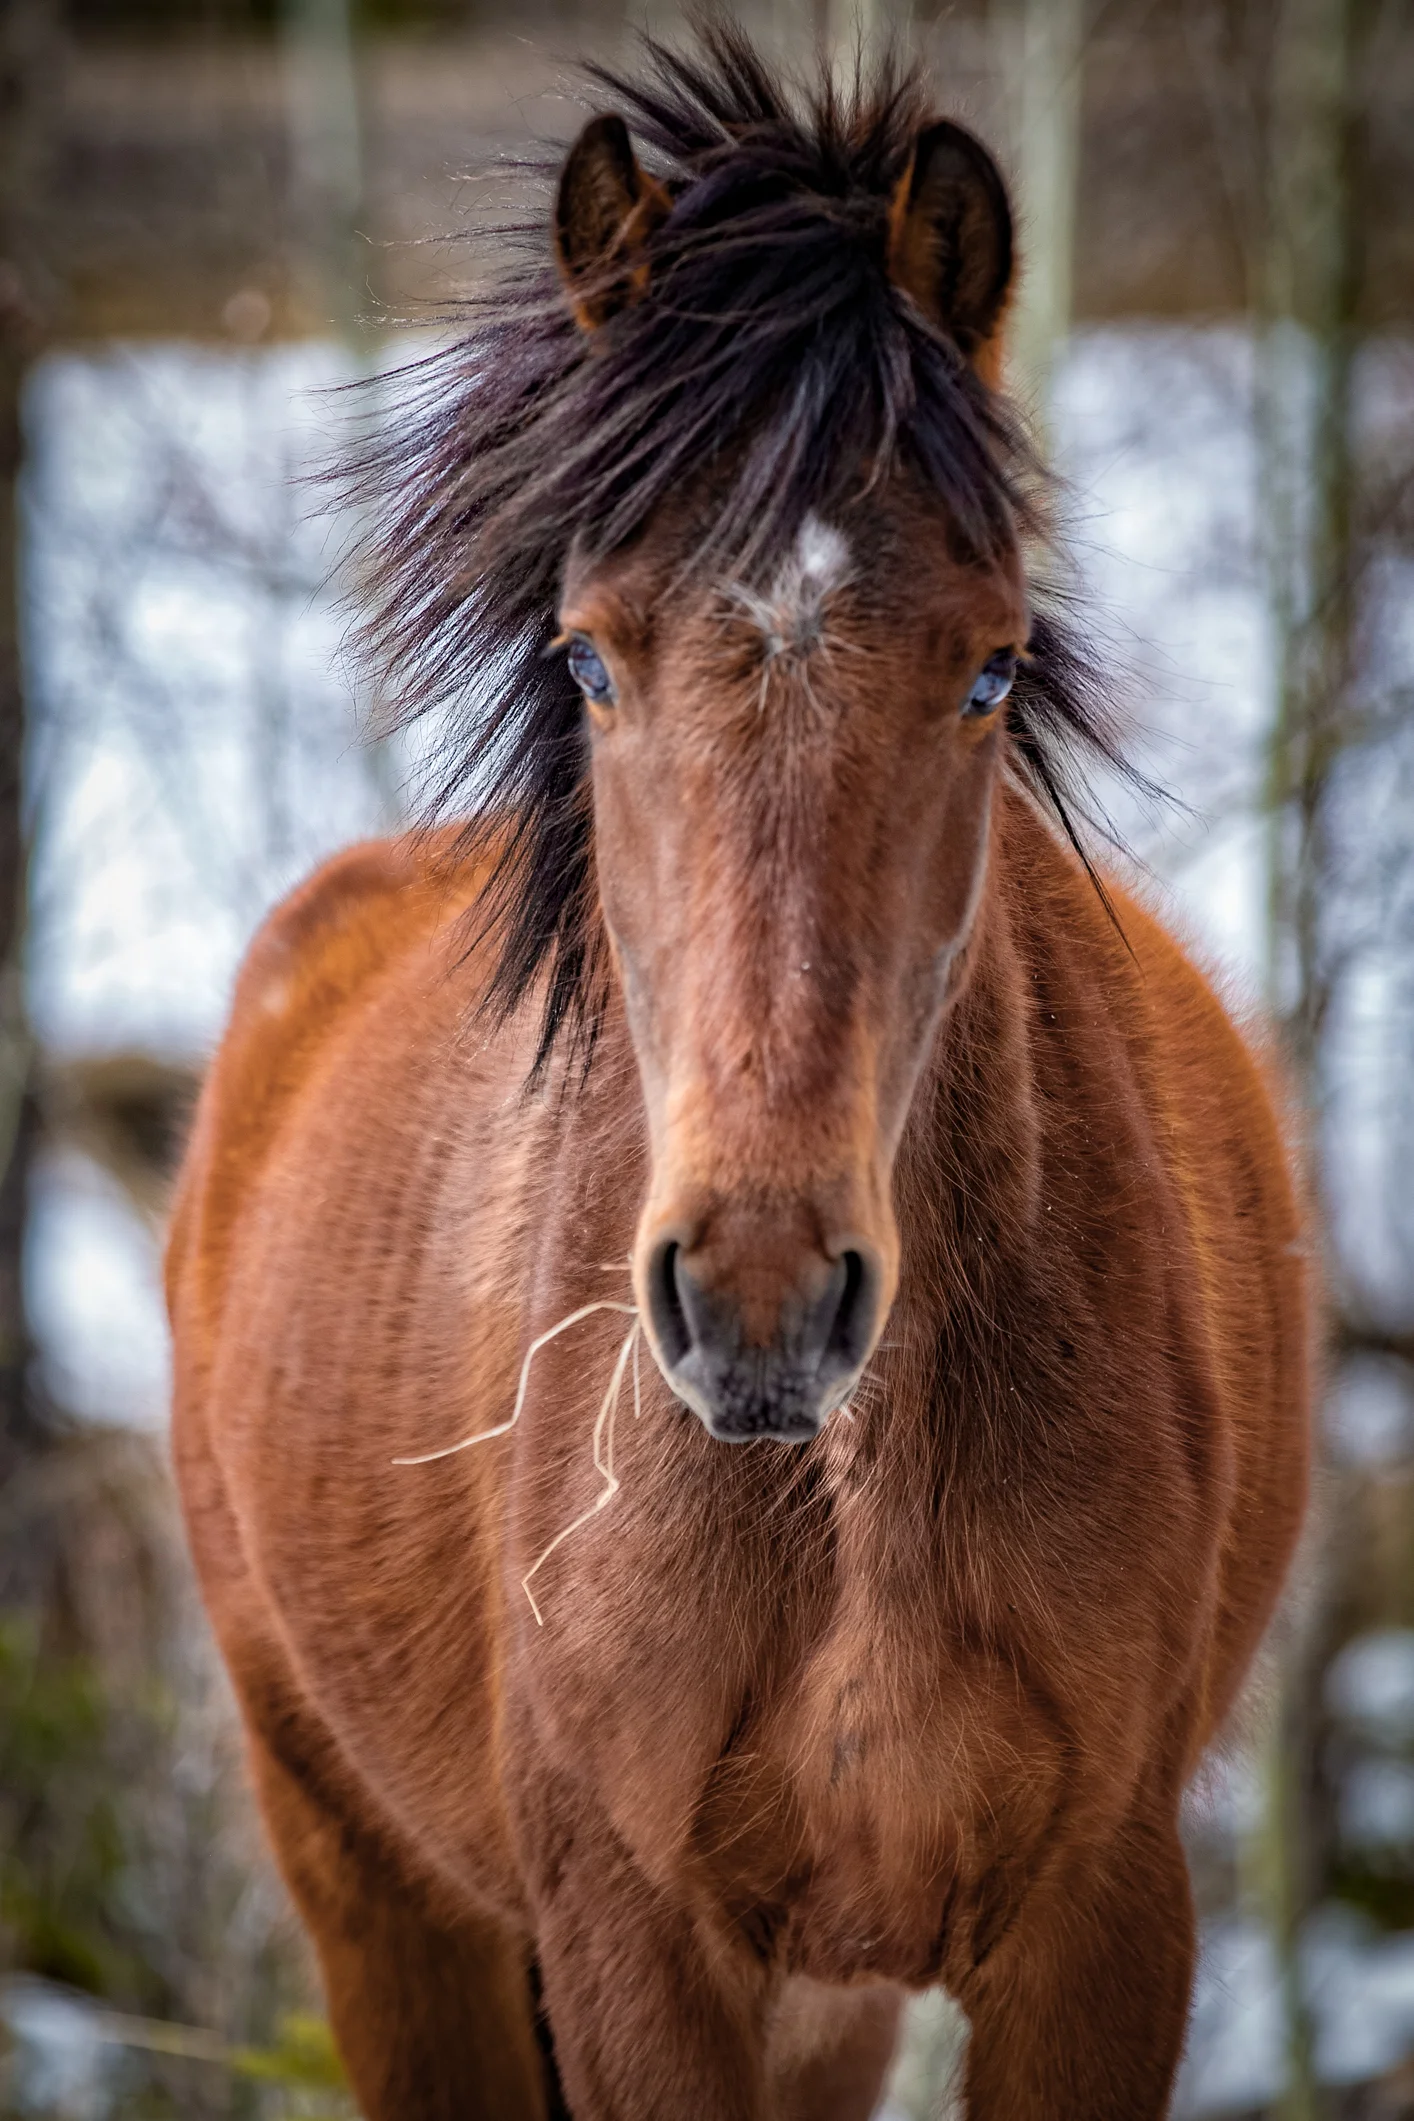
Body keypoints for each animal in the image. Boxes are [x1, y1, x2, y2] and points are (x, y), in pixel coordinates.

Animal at [167, 29, 1310, 2120]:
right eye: (588, 661)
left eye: (986, 669)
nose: (761, 1299)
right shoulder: (630, 1940)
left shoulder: (1098, 1930)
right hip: (375, 1891)